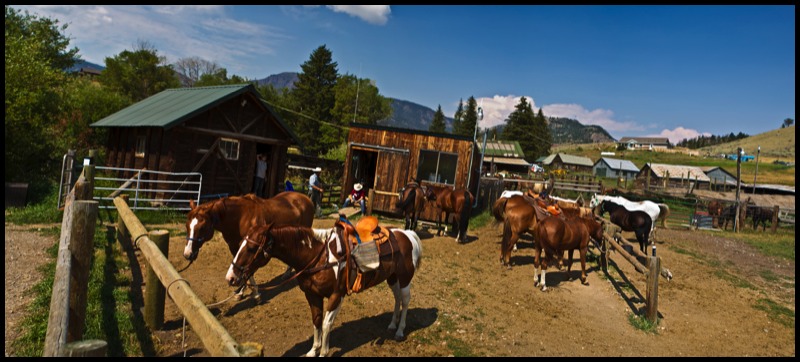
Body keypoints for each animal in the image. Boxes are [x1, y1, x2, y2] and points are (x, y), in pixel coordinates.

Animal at [186, 191, 314, 298]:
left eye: (202, 227)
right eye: (187, 226)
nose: (187, 254)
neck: (240, 218)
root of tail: (305, 198)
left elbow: (248, 270)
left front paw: (254, 293)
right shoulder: (236, 247)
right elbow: (241, 267)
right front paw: (240, 290)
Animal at [227, 215, 424, 356]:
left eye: (251, 249)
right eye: (240, 244)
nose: (231, 277)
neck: (317, 256)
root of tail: (407, 234)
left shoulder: (337, 295)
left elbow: (326, 324)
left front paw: (323, 352)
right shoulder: (312, 295)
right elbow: (316, 321)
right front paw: (313, 350)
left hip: (404, 279)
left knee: (406, 300)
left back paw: (400, 330)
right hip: (392, 278)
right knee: (397, 299)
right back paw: (392, 324)